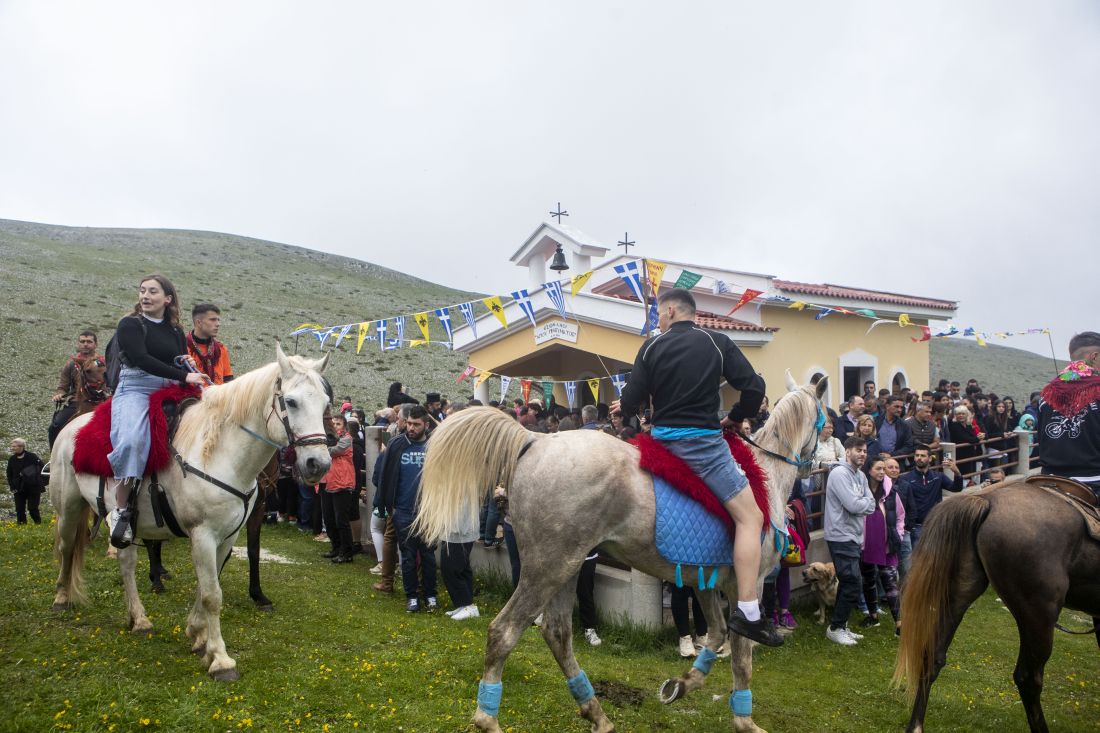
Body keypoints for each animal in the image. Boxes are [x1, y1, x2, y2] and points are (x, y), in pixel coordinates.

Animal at [48, 343, 330, 677]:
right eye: (291, 401)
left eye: (325, 404)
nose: (318, 465)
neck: (219, 454)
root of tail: (72, 428)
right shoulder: (203, 534)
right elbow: (212, 595)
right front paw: (220, 659)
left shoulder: (227, 537)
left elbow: (208, 585)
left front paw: (198, 635)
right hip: (69, 508)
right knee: (67, 549)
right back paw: (62, 597)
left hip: (125, 527)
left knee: (126, 564)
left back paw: (138, 619)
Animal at [415, 374, 827, 726]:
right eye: (821, 421)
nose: (816, 465)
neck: (766, 475)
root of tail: (537, 440)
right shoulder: (747, 584)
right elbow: (742, 656)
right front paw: (744, 720)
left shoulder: (704, 581)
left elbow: (716, 633)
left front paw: (680, 686)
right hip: (547, 568)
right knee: (504, 632)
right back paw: (489, 718)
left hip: (566, 566)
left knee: (557, 632)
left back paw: (595, 713)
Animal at [893, 479, 1100, 730]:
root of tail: (986, 500)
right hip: (1038, 614)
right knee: (1028, 678)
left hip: (960, 593)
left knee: (933, 656)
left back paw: (915, 726)